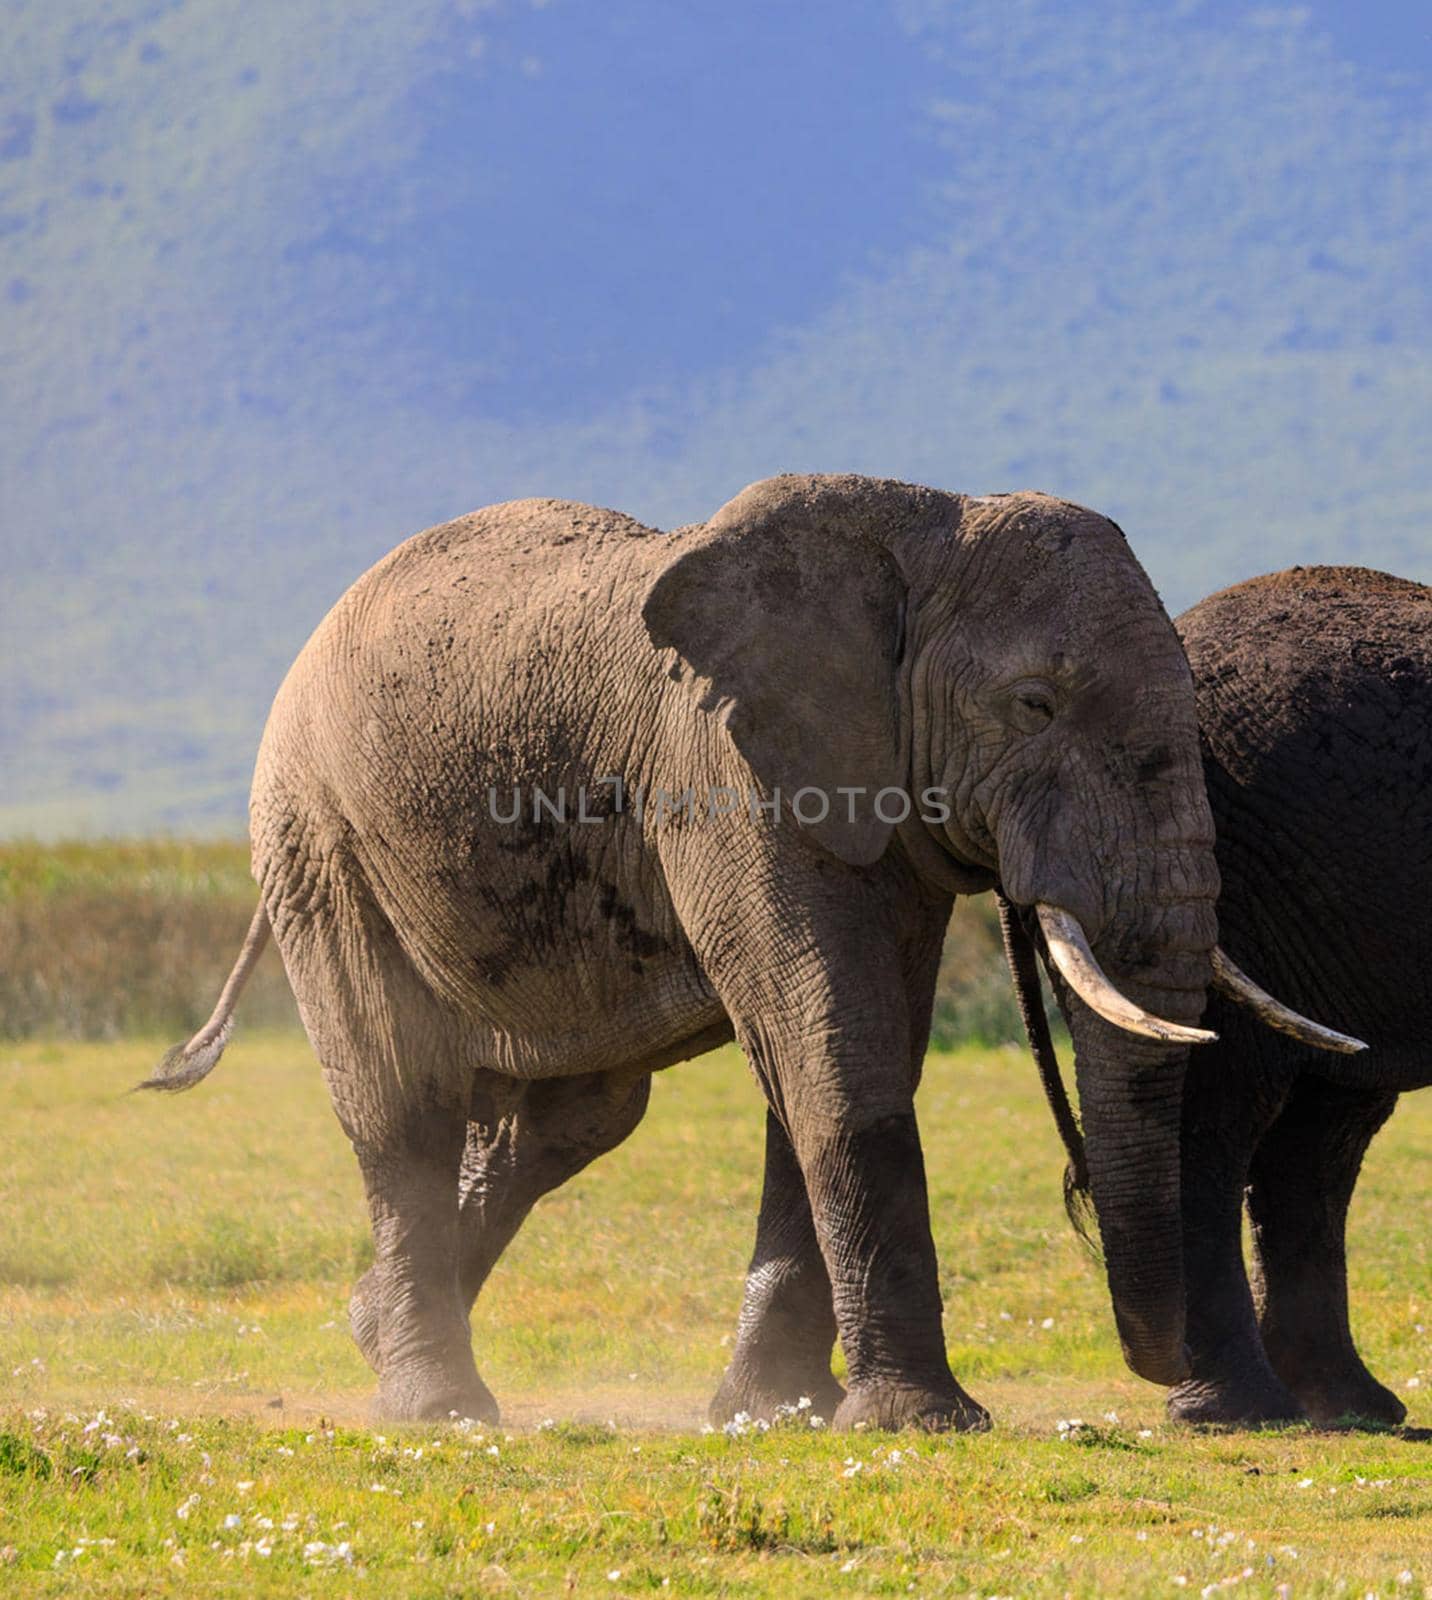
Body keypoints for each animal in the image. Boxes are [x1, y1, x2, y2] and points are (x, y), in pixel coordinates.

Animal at [145, 470, 1331, 1427]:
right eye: (1033, 704)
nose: (1162, 1378)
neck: (921, 526)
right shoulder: (723, 771)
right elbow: (833, 1043)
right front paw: (916, 1423)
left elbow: (845, 1047)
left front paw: (776, 1413)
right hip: (319, 839)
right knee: (405, 1105)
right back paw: (438, 1407)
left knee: (573, 1117)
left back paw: (366, 1329)